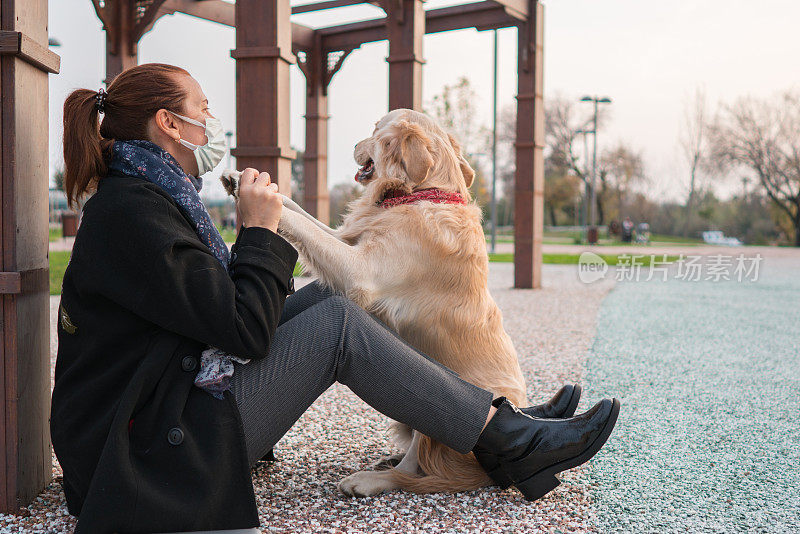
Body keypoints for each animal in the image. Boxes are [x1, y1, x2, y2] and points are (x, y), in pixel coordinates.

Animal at [222, 109, 528, 498]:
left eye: (375, 129)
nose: (354, 144)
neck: (421, 194)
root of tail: (490, 474)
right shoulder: (346, 239)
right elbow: (301, 213)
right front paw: (249, 181)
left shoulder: (360, 271)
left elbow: (301, 223)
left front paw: (251, 191)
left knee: (413, 466)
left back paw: (370, 479)